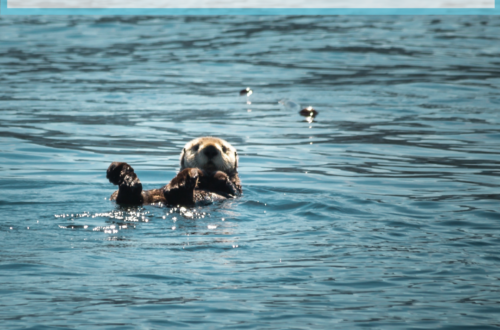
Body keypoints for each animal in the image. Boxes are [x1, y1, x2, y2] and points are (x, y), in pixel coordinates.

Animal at [106, 136, 241, 204]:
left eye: (224, 148)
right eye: (196, 147)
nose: (211, 150)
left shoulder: (235, 188)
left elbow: (228, 184)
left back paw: (183, 179)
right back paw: (121, 172)